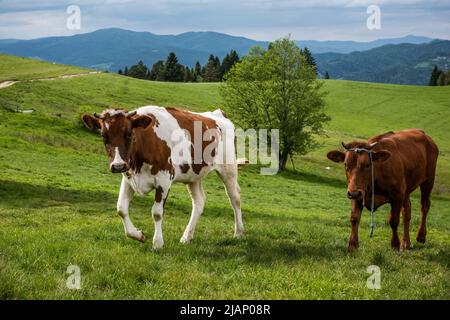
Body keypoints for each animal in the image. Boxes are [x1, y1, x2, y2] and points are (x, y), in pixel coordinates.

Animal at [83, 105, 246, 250]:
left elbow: (157, 212)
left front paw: (158, 243)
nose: (117, 166)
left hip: (228, 168)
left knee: (235, 197)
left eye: (129, 133)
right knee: (199, 202)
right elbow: (121, 208)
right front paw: (138, 235)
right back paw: (186, 237)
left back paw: (239, 233)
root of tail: (218, 113)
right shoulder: (128, 178)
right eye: (103, 135)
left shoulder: (165, 179)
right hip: (193, 174)